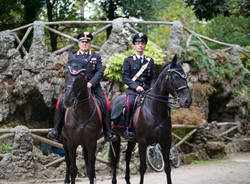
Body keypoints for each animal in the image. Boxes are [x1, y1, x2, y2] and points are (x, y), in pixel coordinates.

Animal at [61, 54, 102, 183]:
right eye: (65, 73)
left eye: (81, 76)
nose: (67, 100)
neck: (82, 114)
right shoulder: (71, 143)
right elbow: (73, 169)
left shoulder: (92, 142)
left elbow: (90, 169)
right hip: (64, 141)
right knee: (67, 162)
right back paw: (66, 179)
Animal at [109, 55, 191, 184]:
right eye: (176, 77)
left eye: (185, 77)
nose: (188, 101)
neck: (155, 111)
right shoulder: (143, 142)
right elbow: (142, 168)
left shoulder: (165, 141)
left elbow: (168, 168)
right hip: (115, 138)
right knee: (115, 159)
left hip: (132, 140)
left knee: (127, 156)